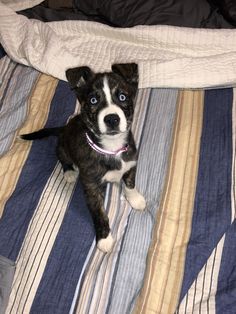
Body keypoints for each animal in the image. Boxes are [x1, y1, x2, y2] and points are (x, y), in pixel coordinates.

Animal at [20, 63, 146, 253]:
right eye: (93, 100)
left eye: (123, 96)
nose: (111, 119)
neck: (111, 148)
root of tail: (63, 128)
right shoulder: (92, 187)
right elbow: (100, 214)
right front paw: (104, 238)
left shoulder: (131, 162)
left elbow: (130, 183)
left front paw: (135, 199)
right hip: (62, 146)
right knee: (62, 157)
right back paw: (69, 173)